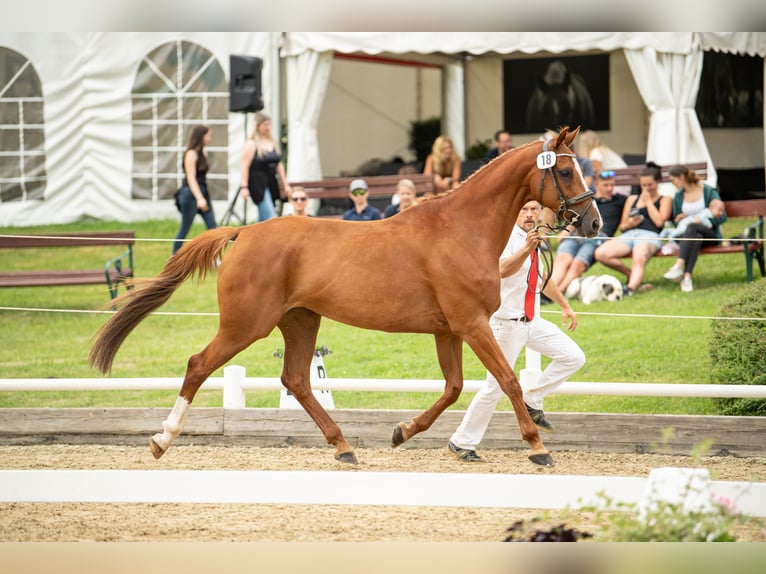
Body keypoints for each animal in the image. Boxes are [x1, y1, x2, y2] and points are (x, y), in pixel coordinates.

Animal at [89, 127, 601, 468]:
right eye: (568, 171)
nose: (594, 222)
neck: (460, 229)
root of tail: (244, 231)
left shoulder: (450, 330)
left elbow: (454, 388)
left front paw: (401, 432)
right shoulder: (472, 324)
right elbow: (508, 382)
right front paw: (538, 446)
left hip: (300, 320)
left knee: (296, 379)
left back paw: (343, 446)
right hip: (246, 324)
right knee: (200, 365)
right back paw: (162, 439)